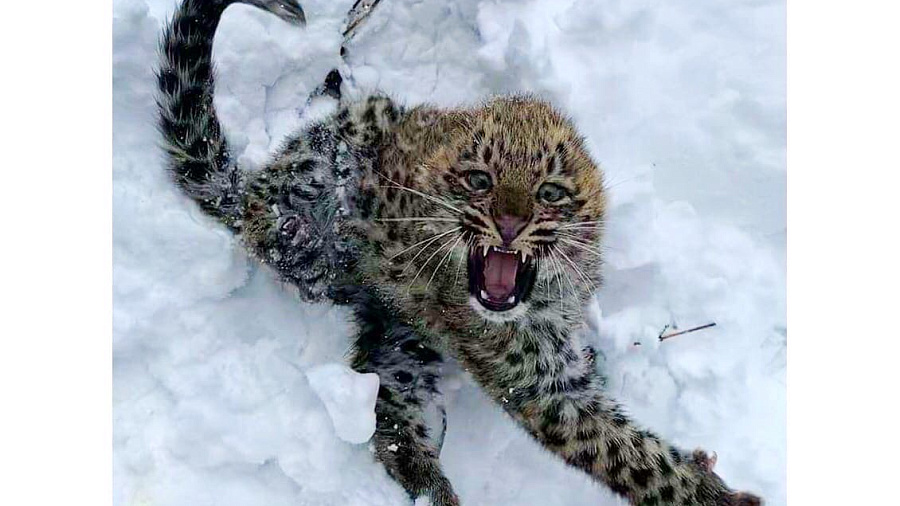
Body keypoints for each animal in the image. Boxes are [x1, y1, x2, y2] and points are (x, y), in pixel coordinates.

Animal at [158, 1, 764, 504]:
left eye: (550, 193)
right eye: (479, 180)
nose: (510, 224)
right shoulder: (539, 386)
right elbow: (630, 455)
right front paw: (711, 494)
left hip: (403, 345)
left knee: (390, 415)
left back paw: (432, 486)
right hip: (356, 131)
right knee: (267, 203)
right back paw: (300, 228)